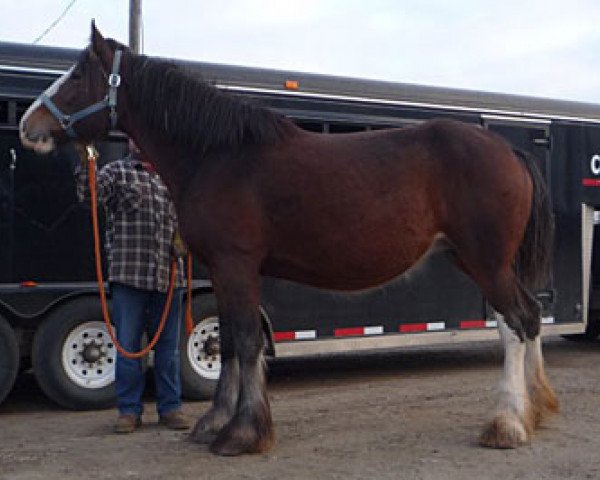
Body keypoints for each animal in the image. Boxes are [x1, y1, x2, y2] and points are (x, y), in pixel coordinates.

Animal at [22, 23, 556, 458]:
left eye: (76, 76)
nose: (29, 126)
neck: (219, 156)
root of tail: (507, 149)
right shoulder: (223, 272)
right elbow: (229, 344)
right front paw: (216, 422)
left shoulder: (236, 265)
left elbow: (244, 342)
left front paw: (241, 434)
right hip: (478, 260)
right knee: (527, 317)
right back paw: (538, 409)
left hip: (486, 261)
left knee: (516, 322)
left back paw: (508, 424)